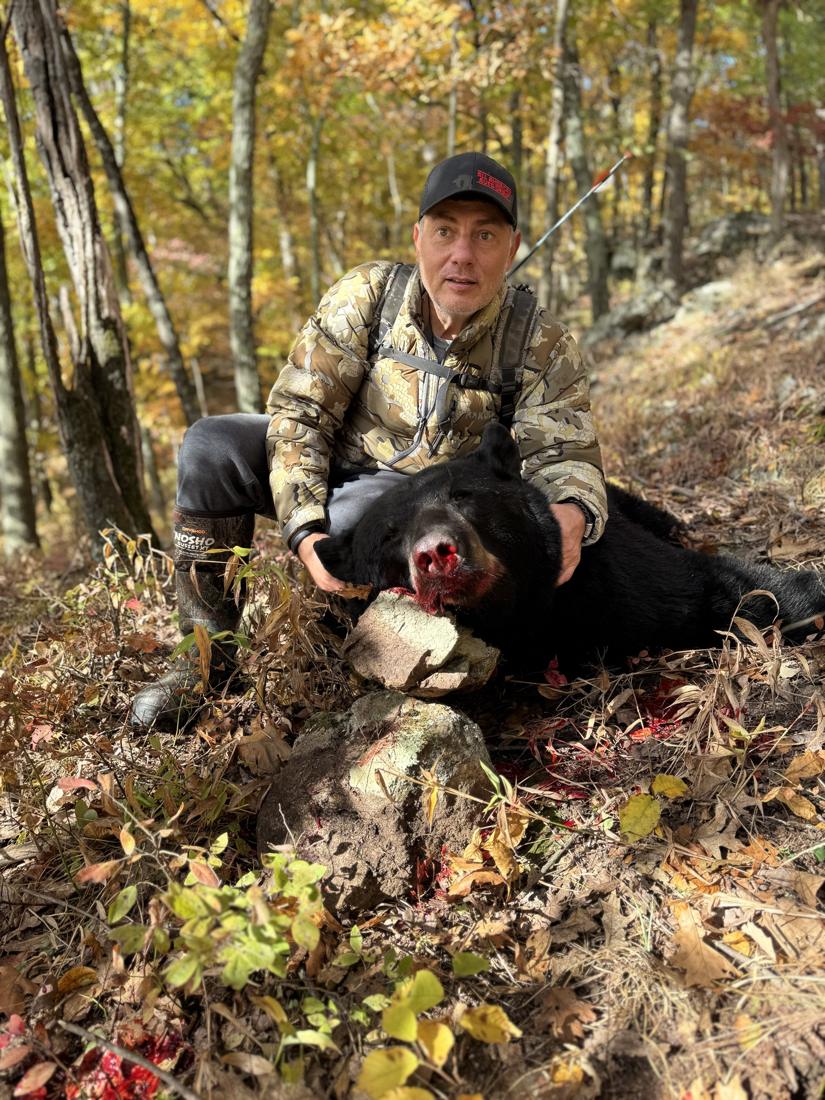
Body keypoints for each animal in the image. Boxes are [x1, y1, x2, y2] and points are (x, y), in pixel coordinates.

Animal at [315, 422, 825, 674]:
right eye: (388, 535)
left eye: (462, 494)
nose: (436, 553)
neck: (520, 611)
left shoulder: (614, 577)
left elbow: (729, 591)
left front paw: (809, 593)